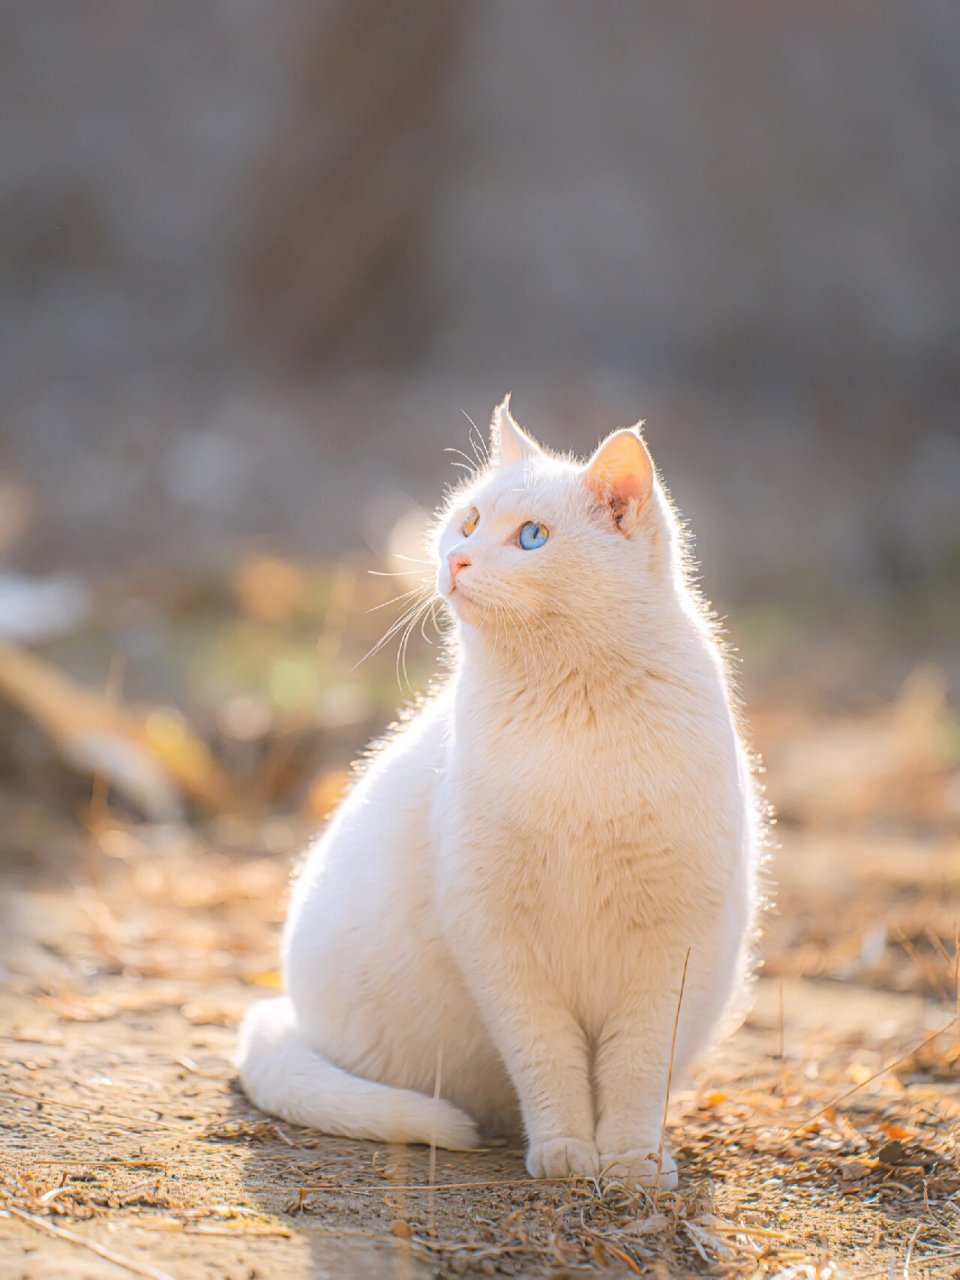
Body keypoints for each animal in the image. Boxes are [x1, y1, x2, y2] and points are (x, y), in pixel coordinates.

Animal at [239, 399, 757, 1187]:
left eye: (532, 537)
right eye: (471, 520)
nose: (457, 559)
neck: (570, 707)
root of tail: (288, 1017)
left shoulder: (673, 942)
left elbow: (637, 1066)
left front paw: (631, 1162)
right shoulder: (497, 936)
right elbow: (547, 1058)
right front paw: (568, 1152)